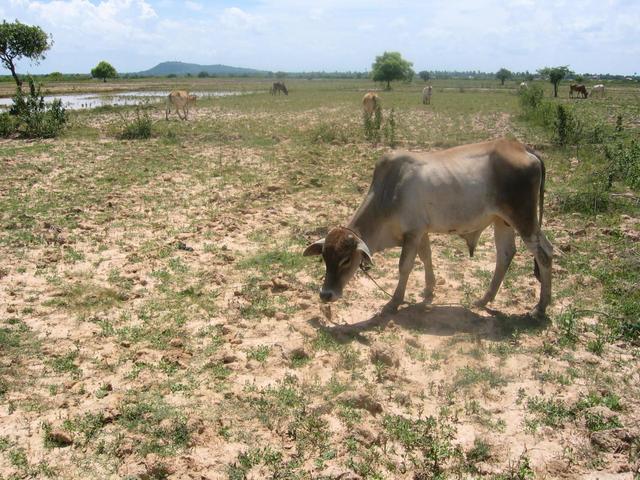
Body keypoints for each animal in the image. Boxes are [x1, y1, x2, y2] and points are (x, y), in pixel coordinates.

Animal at [304, 139, 552, 316]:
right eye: (324, 258)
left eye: (346, 260)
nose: (326, 294)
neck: (389, 192)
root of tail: (523, 148)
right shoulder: (420, 231)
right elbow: (426, 257)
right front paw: (428, 290)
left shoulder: (412, 234)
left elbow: (405, 266)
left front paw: (394, 301)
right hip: (502, 221)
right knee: (506, 254)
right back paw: (484, 299)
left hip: (524, 219)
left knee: (544, 253)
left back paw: (540, 307)